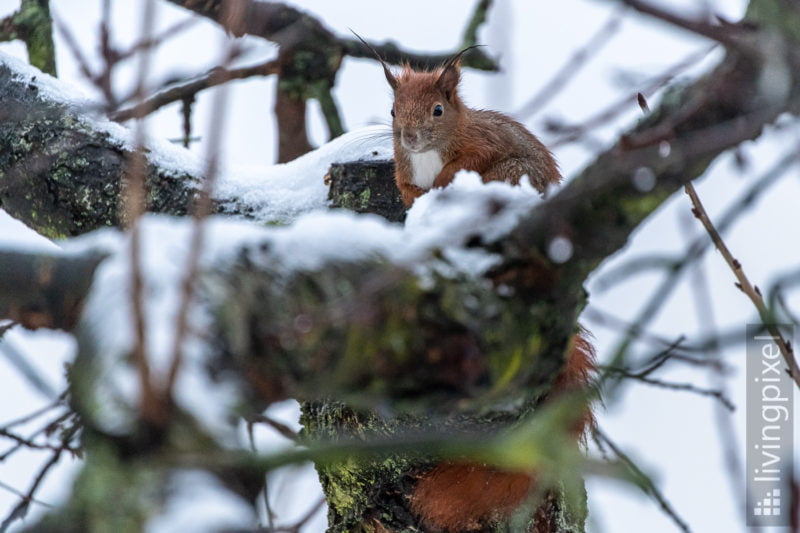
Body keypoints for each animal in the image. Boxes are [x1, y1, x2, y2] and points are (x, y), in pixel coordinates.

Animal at [360, 39, 596, 528]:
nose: (409, 138)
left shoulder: (485, 144)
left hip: (514, 178)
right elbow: (407, 188)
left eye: (437, 109)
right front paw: (419, 195)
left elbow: (468, 163)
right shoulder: (404, 172)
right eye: (392, 111)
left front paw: (446, 182)